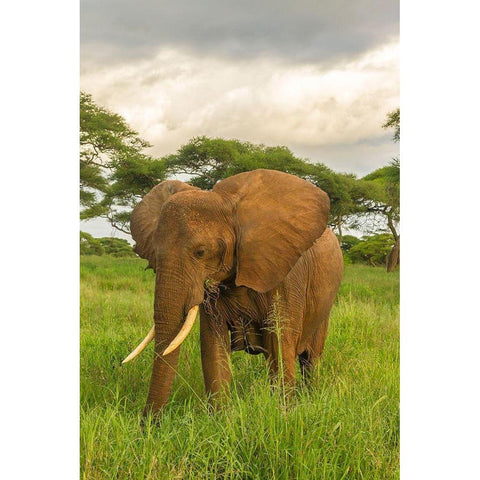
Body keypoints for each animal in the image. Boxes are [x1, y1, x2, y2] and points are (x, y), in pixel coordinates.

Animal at [122, 170, 344, 420]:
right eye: (154, 254)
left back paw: (310, 397)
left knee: (310, 358)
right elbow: (212, 345)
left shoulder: (287, 273)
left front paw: (285, 416)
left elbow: (280, 340)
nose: (148, 424)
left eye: (200, 252)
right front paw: (220, 421)